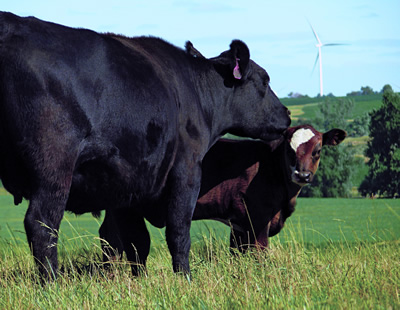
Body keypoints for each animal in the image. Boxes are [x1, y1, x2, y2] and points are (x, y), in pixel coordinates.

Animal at [0, 12, 290, 278]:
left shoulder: (128, 184)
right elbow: (178, 232)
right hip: (55, 166)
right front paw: (184, 277)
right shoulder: (186, 170)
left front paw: (140, 280)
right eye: (265, 80)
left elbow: (137, 241)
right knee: (42, 223)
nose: (286, 113)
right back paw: (52, 283)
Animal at [101, 124, 346, 258]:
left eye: (318, 150)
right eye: (289, 149)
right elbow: (260, 254)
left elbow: (238, 255)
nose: (302, 175)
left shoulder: (239, 224)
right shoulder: (258, 219)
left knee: (108, 238)